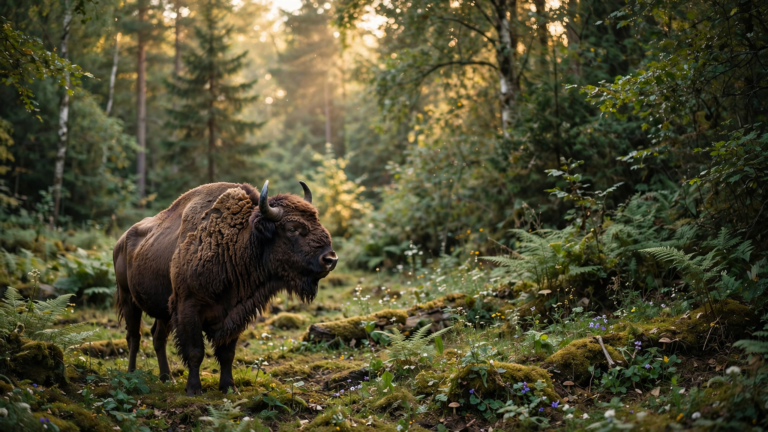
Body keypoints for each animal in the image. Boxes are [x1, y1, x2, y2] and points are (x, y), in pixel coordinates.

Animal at [113, 181, 337, 395]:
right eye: (292, 228)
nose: (330, 259)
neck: (239, 241)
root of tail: (121, 241)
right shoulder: (188, 308)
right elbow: (195, 352)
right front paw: (194, 389)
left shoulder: (234, 313)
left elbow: (227, 353)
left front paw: (229, 387)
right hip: (128, 299)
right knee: (134, 336)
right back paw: (132, 375)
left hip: (163, 311)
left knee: (158, 337)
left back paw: (167, 378)